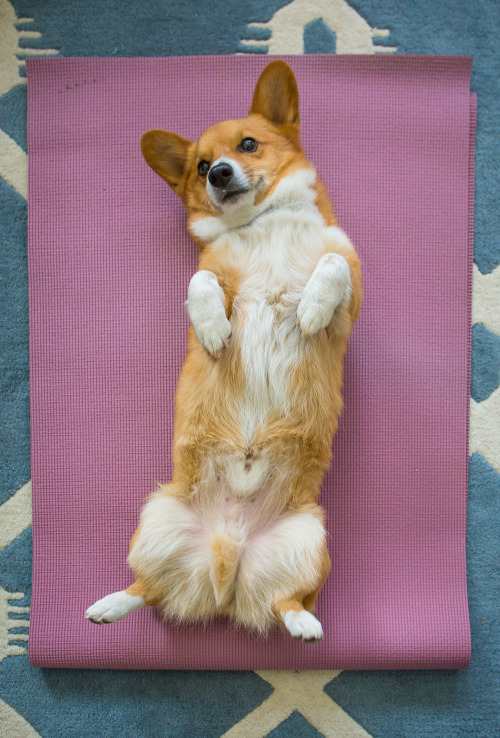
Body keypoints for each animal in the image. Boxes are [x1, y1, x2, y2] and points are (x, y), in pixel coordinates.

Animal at [84, 61, 362, 640]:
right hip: (156, 518)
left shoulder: (351, 295)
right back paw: (106, 606)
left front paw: (310, 310)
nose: (219, 174)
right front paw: (212, 328)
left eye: (248, 144)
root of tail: (227, 559)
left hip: (309, 539)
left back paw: (306, 625)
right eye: (201, 166)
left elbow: (331, 267)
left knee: (286, 602)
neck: (263, 224)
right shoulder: (211, 270)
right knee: (146, 588)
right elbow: (201, 280)